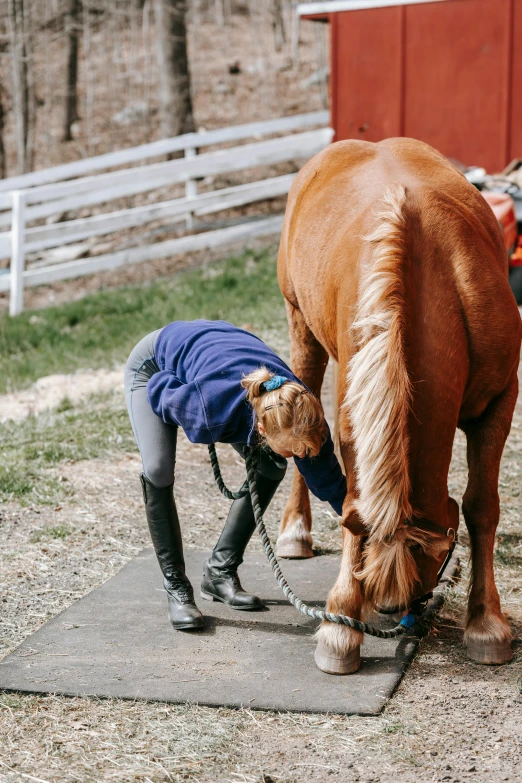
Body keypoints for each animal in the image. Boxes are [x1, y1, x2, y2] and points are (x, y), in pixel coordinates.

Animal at [274, 135, 516, 672]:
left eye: (432, 563)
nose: (389, 609)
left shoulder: (500, 402)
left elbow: (482, 506)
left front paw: (486, 624)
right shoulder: (353, 418)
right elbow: (355, 509)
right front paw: (340, 626)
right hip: (301, 327)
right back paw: (295, 532)